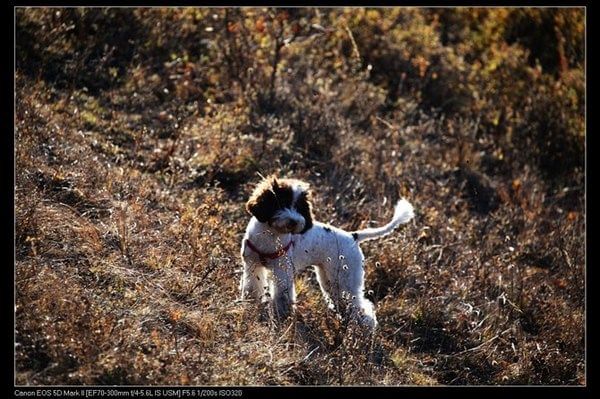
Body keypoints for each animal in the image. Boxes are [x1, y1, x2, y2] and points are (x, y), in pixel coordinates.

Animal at [239, 177, 412, 330]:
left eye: (300, 207)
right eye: (281, 203)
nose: (295, 222)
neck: (270, 235)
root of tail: (353, 236)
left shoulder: (282, 271)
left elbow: (282, 297)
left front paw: (281, 316)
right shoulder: (253, 265)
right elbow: (251, 289)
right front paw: (250, 305)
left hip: (345, 280)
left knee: (363, 308)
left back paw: (365, 328)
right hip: (330, 279)